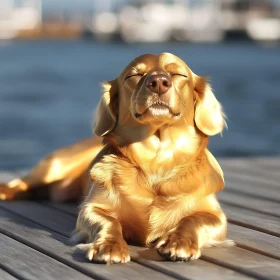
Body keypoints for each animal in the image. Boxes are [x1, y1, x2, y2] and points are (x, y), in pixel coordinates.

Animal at [0, 52, 230, 262]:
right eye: (134, 75)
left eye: (177, 74)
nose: (158, 83)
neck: (155, 161)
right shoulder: (90, 209)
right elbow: (110, 222)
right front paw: (109, 246)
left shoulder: (216, 217)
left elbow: (194, 220)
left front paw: (179, 242)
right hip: (55, 167)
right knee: (19, 184)